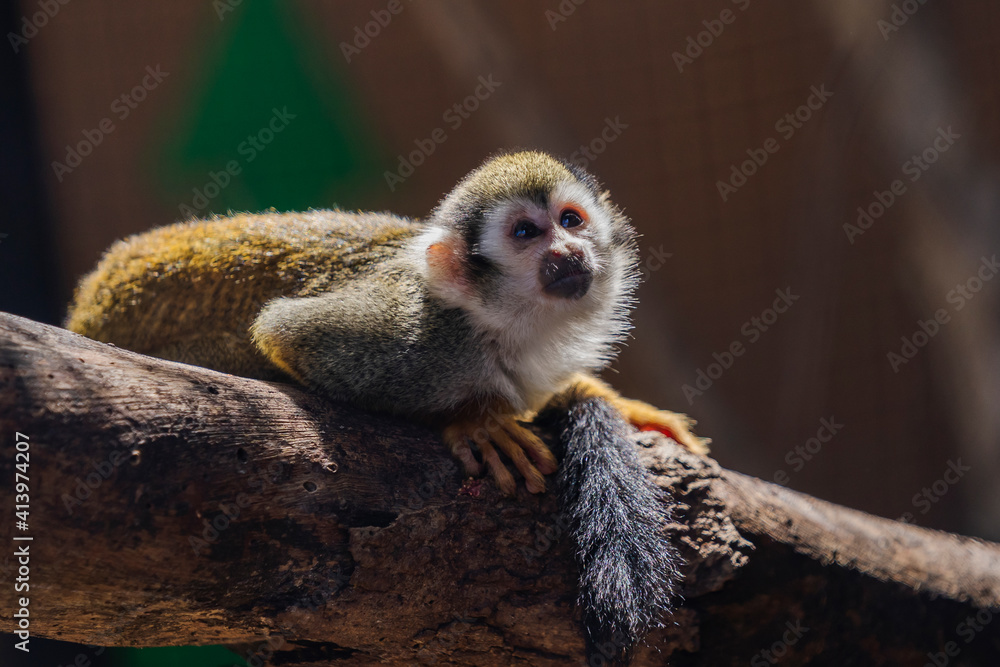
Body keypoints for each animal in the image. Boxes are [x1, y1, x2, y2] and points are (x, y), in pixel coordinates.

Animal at [65, 150, 708, 663]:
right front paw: (472, 420)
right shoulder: (411, 342)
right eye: (526, 233)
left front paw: (609, 398)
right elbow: (284, 333)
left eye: (571, 220)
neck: (492, 322)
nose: (571, 249)